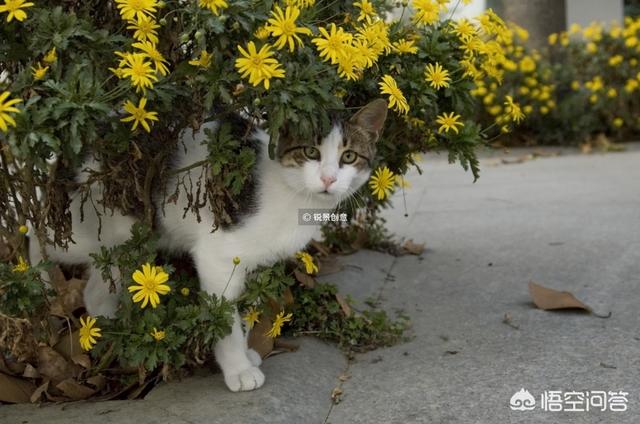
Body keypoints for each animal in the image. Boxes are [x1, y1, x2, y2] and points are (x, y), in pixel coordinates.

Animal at [28, 98, 390, 390]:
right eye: (310, 152)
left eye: (349, 156)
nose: (329, 179)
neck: (292, 193)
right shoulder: (218, 257)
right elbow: (224, 318)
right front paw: (238, 369)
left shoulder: (254, 263)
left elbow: (245, 313)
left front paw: (246, 352)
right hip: (86, 230)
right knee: (35, 234)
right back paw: (40, 286)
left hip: (123, 246)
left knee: (95, 292)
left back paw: (114, 332)